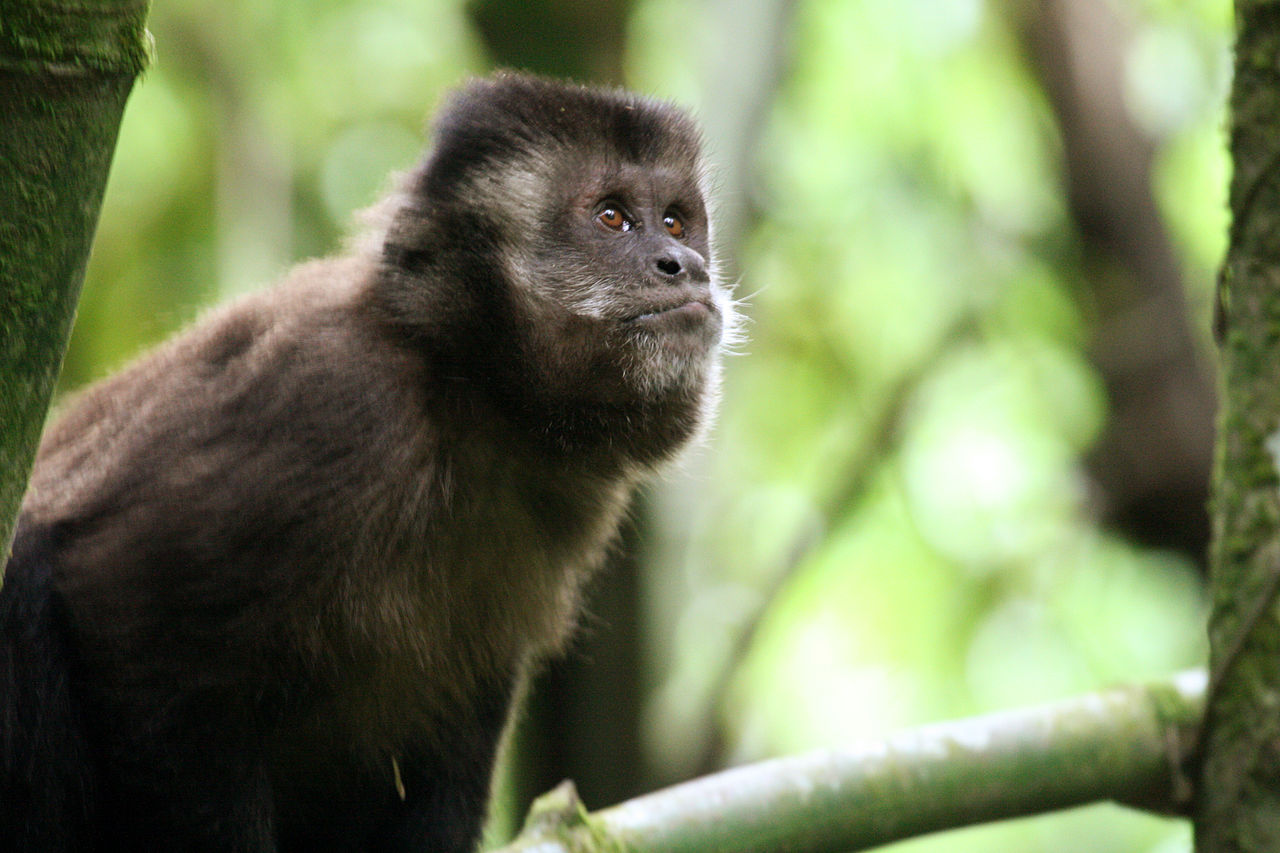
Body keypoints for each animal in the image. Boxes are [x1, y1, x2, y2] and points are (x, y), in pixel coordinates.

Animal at [0, 74, 732, 850]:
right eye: (613, 218)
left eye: (676, 223)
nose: (686, 266)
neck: (467, 393)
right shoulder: (335, 404)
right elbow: (118, 601)